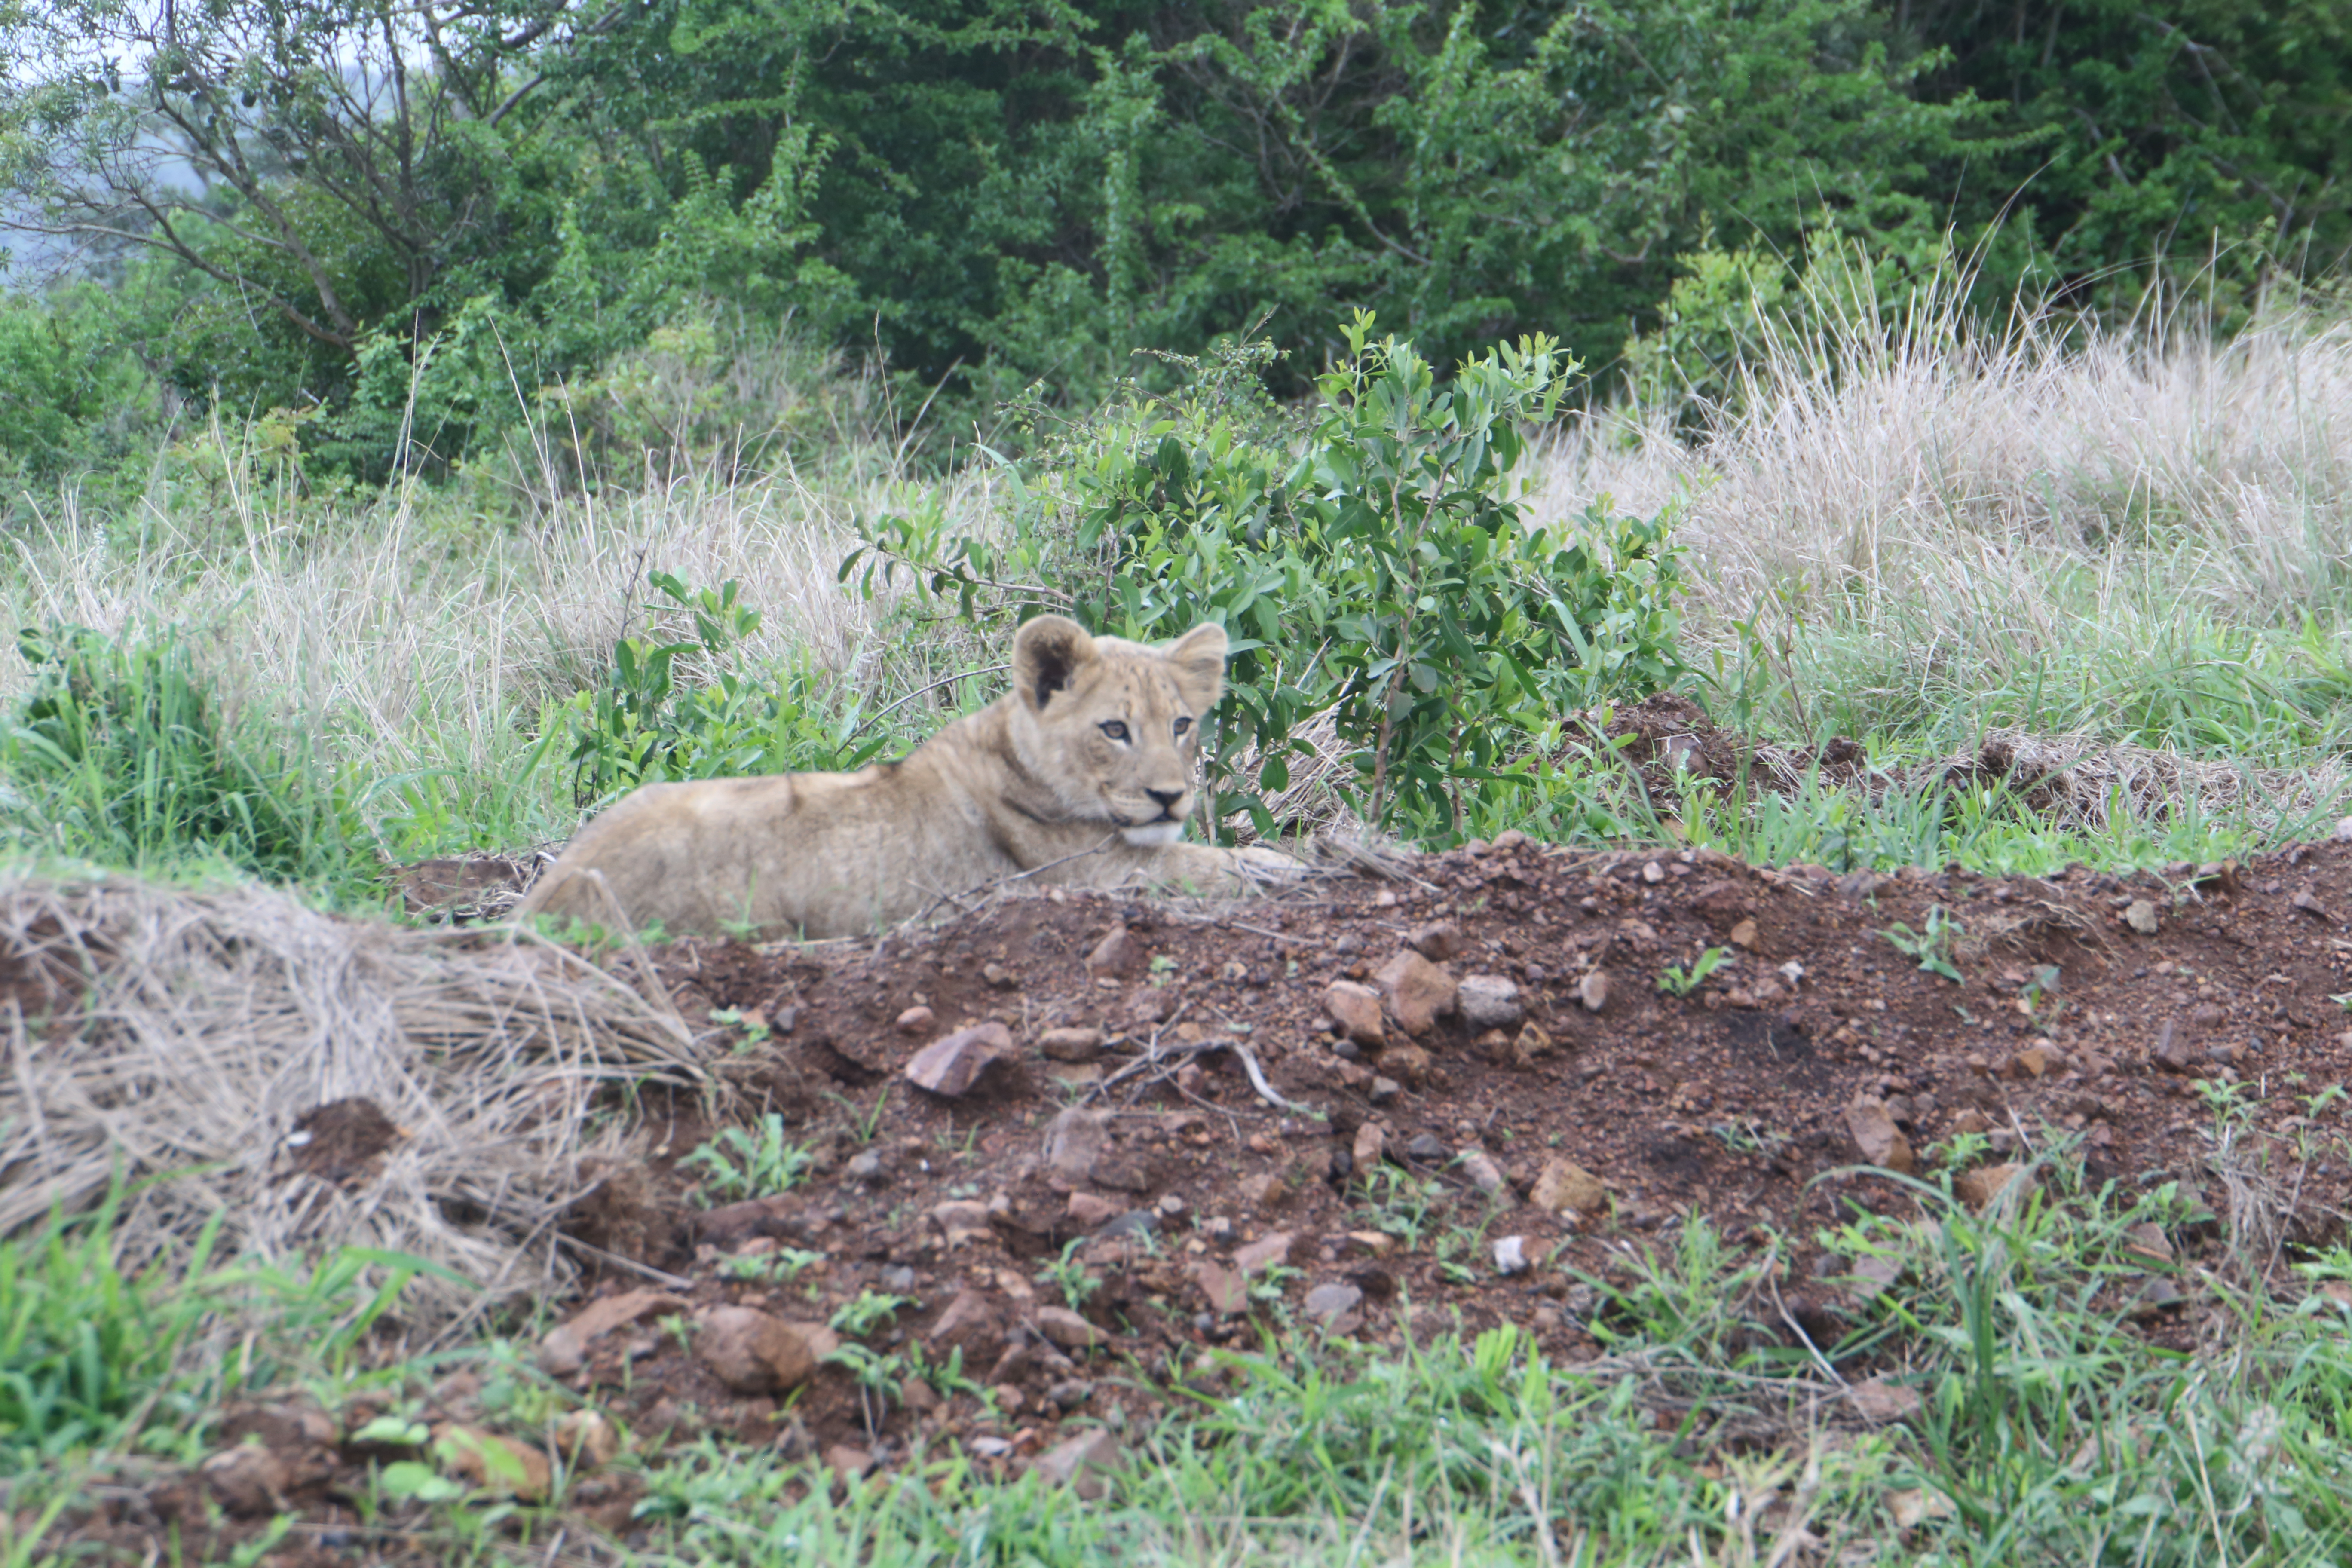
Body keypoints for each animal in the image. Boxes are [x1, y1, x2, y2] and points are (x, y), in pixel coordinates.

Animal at [513, 615, 1298, 940]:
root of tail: (546, 893)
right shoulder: (1087, 875)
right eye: (1114, 730)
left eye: (1182, 724)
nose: (1170, 796)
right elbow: (1206, 863)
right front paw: (1278, 864)